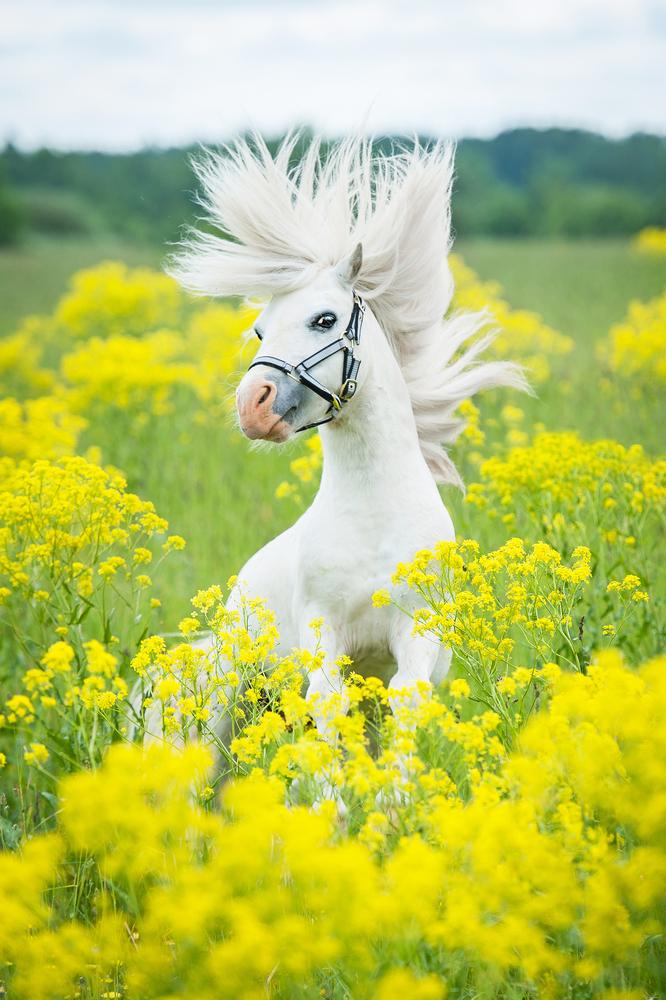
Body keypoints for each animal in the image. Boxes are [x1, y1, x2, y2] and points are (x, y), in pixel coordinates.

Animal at [169, 135, 520, 736]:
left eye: (325, 320)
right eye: (260, 329)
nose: (251, 406)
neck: (374, 515)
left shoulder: (413, 634)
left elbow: (407, 702)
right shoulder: (324, 631)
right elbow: (327, 705)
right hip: (229, 700)